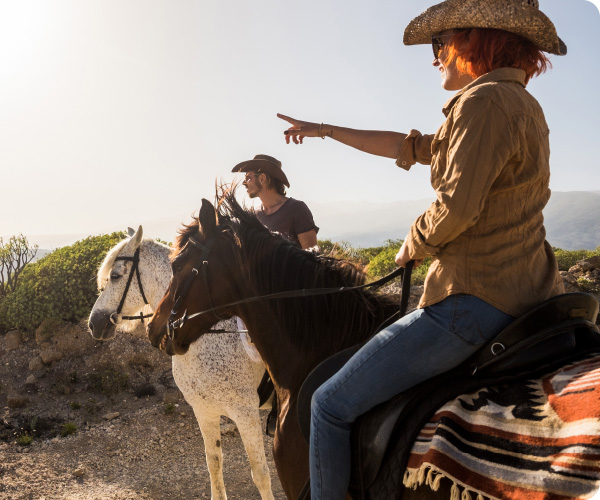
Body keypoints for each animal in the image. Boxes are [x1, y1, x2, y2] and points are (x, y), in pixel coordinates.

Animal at [88, 226, 276, 500]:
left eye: (115, 275)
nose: (94, 323)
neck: (201, 332)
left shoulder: (246, 413)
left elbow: (260, 474)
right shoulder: (205, 411)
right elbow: (214, 464)